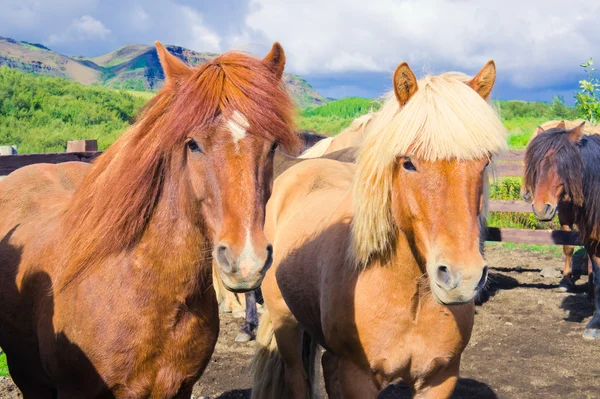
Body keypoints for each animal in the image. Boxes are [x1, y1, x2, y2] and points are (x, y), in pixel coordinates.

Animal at [251, 61, 508, 398]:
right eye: (408, 163)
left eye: (484, 162)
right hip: (287, 323)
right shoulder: (357, 377)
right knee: (296, 377)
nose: (461, 279)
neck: (412, 299)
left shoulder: (440, 378)